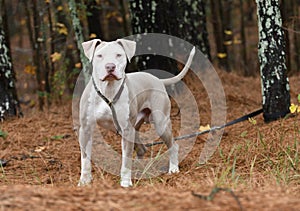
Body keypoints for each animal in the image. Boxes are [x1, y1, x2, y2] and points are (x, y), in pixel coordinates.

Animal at [78, 38, 195, 187]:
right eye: (99, 55)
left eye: (119, 55)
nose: (110, 67)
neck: (108, 91)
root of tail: (157, 79)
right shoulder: (85, 129)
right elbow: (85, 159)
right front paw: (84, 181)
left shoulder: (126, 130)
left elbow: (126, 159)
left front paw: (125, 182)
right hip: (135, 128)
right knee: (142, 149)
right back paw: (139, 169)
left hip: (160, 124)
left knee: (173, 145)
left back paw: (173, 169)